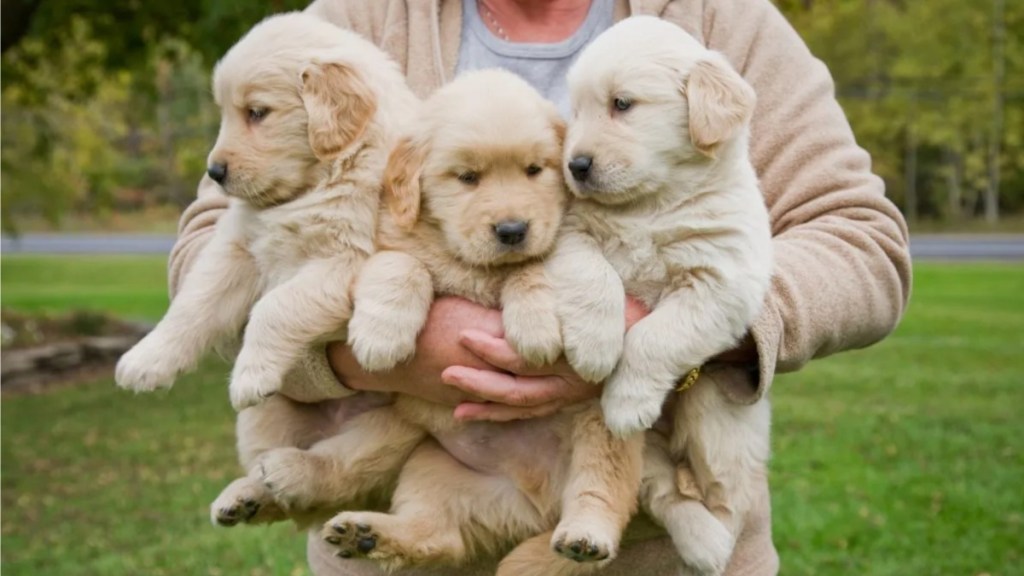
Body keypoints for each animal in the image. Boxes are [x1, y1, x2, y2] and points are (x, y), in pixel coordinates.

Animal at [110, 14, 413, 520]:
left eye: (257, 112)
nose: (214, 172)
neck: (314, 183)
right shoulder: (237, 248)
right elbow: (194, 303)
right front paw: (146, 359)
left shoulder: (344, 261)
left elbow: (275, 306)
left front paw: (251, 372)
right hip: (263, 419)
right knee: (282, 491)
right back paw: (245, 498)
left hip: (394, 426)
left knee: (340, 474)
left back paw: (292, 474)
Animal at [307, 68, 638, 573]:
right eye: (467, 178)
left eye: (534, 170)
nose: (512, 230)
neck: (471, 263)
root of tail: (540, 504)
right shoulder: (388, 242)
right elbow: (402, 265)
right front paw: (381, 336)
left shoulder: (552, 242)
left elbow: (529, 268)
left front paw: (535, 324)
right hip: (432, 465)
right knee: (437, 535)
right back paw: (368, 534)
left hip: (603, 425)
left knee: (600, 493)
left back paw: (585, 536)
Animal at [557, 17, 770, 573]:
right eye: (576, 110)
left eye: (622, 104)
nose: (575, 165)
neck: (651, 204)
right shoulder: (571, 230)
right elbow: (594, 275)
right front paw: (596, 345)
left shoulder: (720, 282)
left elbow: (656, 337)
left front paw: (628, 397)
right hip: (626, 443)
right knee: (662, 491)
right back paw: (698, 541)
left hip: (717, 420)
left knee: (726, 499)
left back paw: (715, 547)